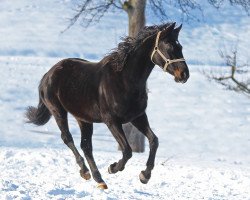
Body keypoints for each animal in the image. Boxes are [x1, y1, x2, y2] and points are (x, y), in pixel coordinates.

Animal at [25, 22, 189, 189]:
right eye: (169, 46)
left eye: (180, 46)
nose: (184, 75)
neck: (124, 80)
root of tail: (48, 75)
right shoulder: (112, 121)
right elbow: (127, 150)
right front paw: (113, 168)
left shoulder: (137, 116)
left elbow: (154, 141)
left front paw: (145, 175)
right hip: (58, 111)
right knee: (67, 138)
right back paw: (85, 171)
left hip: (83, 119)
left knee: (86, 146)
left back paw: (99, 179)